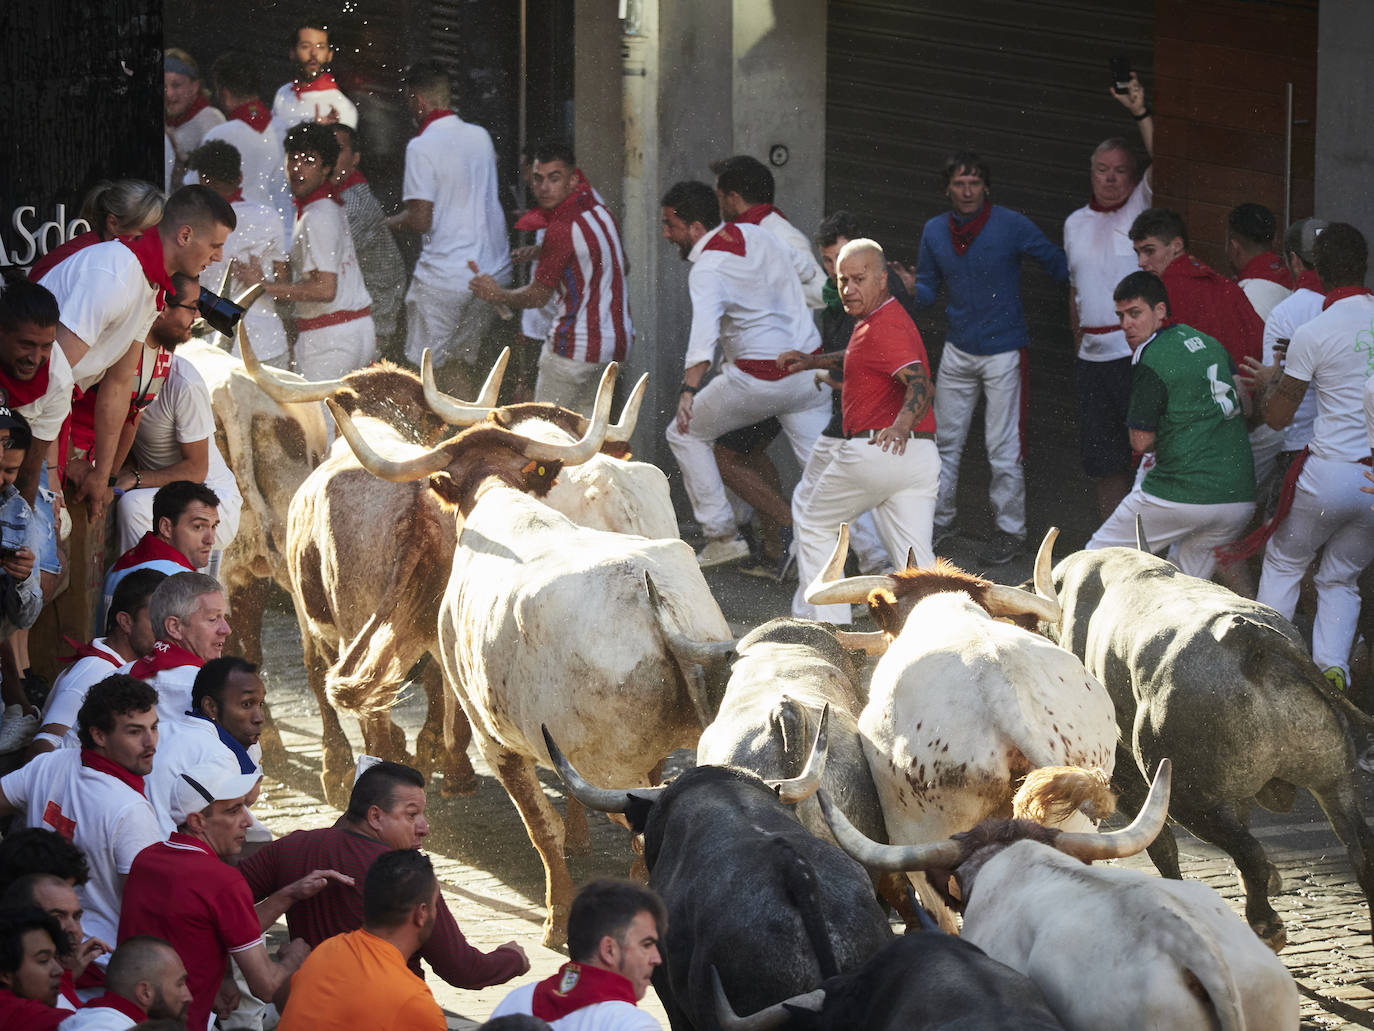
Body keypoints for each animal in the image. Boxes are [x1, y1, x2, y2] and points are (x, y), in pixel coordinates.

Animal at [332, 368, 741, 951]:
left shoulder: (495, 739)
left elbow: (541, 826)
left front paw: (556, 918)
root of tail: (657, 605)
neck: (502, 501)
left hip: (609, 770)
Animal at [1044, 549, 1368, 951]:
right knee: (1360, 852)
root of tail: (1247, 637)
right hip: (1334, 780)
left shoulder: (1126, 778)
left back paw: (1265, 924)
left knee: (1249, 852)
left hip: (1187, 797)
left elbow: (1161, 844)